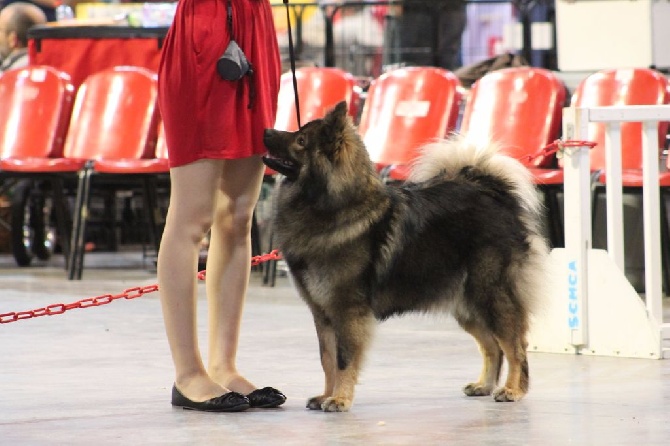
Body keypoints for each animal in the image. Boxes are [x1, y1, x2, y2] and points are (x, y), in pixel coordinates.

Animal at [262, 103, 552, 412]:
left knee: (515, 346)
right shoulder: (323, 312)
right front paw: (326, 395)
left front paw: (340, 399)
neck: (333, 206)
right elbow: (327, 360)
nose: (266, 131)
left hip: (491, 296)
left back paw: (513, 390)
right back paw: (483, 385)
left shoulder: (347, 311)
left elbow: (344, 360)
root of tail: (496, 195)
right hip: (467, 304)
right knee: (492, 346)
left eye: (301, 140)